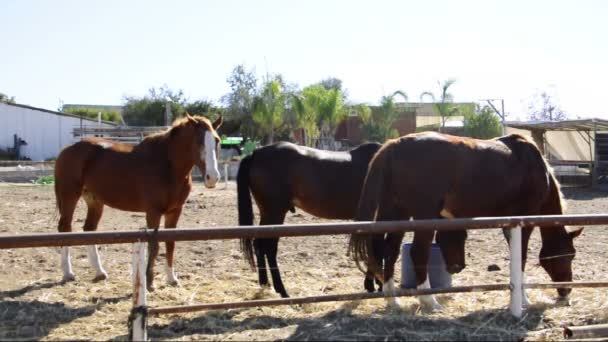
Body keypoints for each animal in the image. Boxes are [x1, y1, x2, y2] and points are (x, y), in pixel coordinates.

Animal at [54, 114, 223, 288]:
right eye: (198, 141)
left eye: (217, 140)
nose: (212, 177)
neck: (167, 165)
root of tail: (68, 149)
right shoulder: (153, 212)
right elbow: (154, 245)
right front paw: (149, 281)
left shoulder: (175, 211)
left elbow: (170, 243)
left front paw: (171, 278)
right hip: (69, 196)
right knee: (64, 228)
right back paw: (68, 273)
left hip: (94, 201)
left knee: (89, 229)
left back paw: (100, 272)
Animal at [238, 141, 466, 296]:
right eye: (459, 235)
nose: (458, 267)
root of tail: (256, 153)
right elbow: (378, 248)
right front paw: (377, 285)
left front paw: (372, 284)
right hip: (275, 212)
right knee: (269, 248)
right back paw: (282, 290)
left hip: (268, 214)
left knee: (259, 245)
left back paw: (265, 284)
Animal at [352, 132, 584, 312]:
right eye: (569, 255)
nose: (566, 291)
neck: (532, 163)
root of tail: (395, 146)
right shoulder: (525, 222)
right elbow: (522, 257)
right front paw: (525, 300)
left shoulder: (509, 225)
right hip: (422, 216)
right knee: (418, 252)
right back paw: (429, 301)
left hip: (397, 214)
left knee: (389, 251)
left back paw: (393, 300)